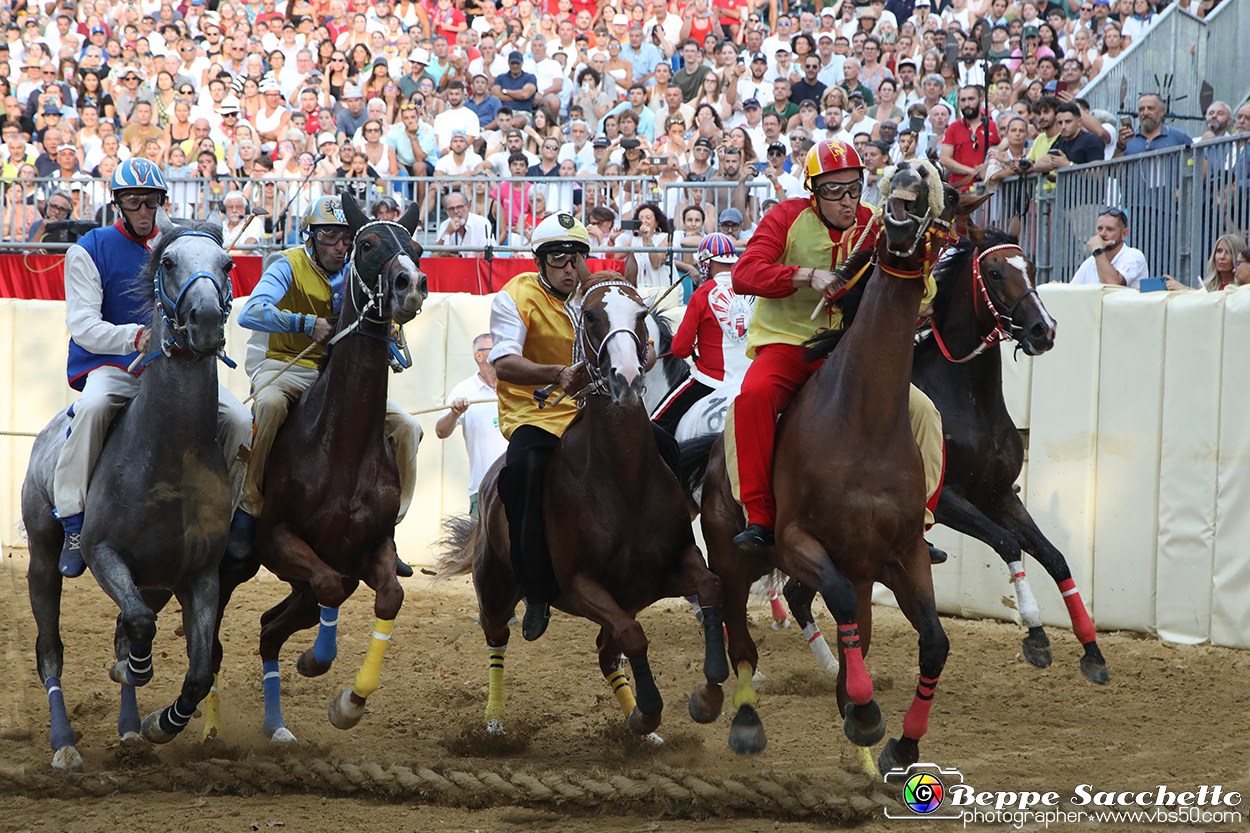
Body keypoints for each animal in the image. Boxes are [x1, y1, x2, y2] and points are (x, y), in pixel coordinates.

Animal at [21, 211, 236, 770]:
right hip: (42, 557)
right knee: (50, 649)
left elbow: (198, 669)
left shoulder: (198, 574)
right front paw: (132, 673)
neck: (170, 456)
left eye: (226, 265)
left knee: (125, 631)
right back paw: (64, 741)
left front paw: (163, 722)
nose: (206, 321)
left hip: (156, 581)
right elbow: (137, 626)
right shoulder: (105, 553)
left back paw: (131, 729)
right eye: (169, 262)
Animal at [206, 192, 430, 740]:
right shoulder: (279, 539)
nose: (410, 285)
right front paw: (318, 660)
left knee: (269, 629)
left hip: (299, 585)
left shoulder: (370, 548)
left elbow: (390, 595)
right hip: (232, 566)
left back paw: (276, 725)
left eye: (416, 247)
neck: (340, 447)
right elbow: (328, 586)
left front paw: (349, 701)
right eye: (365, 244)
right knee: (212, 641)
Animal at [442, 271, 730, 735]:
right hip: (495, 587)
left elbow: (709, 587)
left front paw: (706, 694)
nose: (627, 376)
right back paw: (495, 721)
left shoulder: (670, 567)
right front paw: (651, 707)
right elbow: (634, 635)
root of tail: (489, 479)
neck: (622, 484)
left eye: (641, 314)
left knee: (607, 653)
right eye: (591, 316)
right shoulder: (580, 585)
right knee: (497, 638)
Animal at [780, 225, 1115, 680]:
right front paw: (1035, 632)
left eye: (1029, 267)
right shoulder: (948, 500)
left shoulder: (998, 494)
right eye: (994, 272)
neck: (970, 402)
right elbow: (1008, 544)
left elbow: (1054, 556)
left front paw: (1092, 650)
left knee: (797, 592)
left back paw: (834, 666)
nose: (1043, 330)